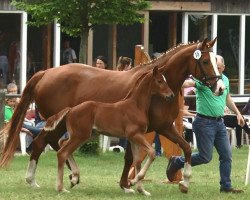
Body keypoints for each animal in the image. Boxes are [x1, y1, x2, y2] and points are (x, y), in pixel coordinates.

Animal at [43, 66, 174, 195]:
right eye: (159, 81)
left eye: (165, 80)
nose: (171, 95)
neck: (136, 106)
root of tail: (71, 109)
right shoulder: (135, 135)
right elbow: (152, 153)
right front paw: (133, 182)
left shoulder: (134, 138)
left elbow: (137, 162)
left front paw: (142, 190)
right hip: (80, 135)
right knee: (62, 152)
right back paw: (61, 187)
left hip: (84, 135)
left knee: (62, 143)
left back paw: (74, 178)